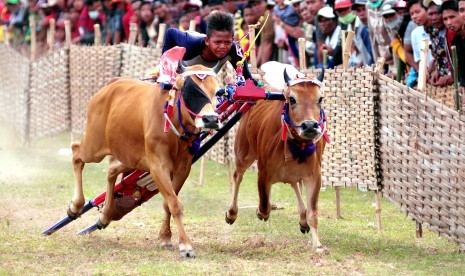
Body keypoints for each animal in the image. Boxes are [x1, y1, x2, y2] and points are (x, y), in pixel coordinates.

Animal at [68, 62, 222, 256]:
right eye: (188, 91)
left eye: (218, 92)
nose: (211, 119)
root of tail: (111, 84)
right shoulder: (158, 167)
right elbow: (175, 204)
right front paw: (186, 245)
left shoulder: (183, 169)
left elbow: (168, 203)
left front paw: (165, 237)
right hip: (94, 147)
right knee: (76, 153)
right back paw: (75, 206)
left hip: (130, 157)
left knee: (111, 170)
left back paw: (105, 215)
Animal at [225, 68, 326, 253]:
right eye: (291, 99)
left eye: (320, 99)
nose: (309, 126)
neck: (297, 145)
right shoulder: (264, 172)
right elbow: (264, 206)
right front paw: (259, 212)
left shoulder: (315, 176)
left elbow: (313, 213)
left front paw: (317, 245)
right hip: (243, 152)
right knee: (237, 176)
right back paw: (231, 213)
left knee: (294, 185)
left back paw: (302, 219)